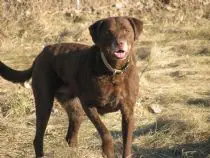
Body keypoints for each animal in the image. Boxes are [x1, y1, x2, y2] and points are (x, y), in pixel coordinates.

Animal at [0, 16, 143, 157]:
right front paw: (107, 150)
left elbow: (127, 143)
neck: (113, 71)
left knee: (71, 133)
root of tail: (40, 55)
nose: (119, 43)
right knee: (38, 138)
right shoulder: (89, 106)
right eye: (108, 32)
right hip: (44, 102)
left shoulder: (128, 112)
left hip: (73, 106)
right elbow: (104, 130)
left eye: (126, 30)